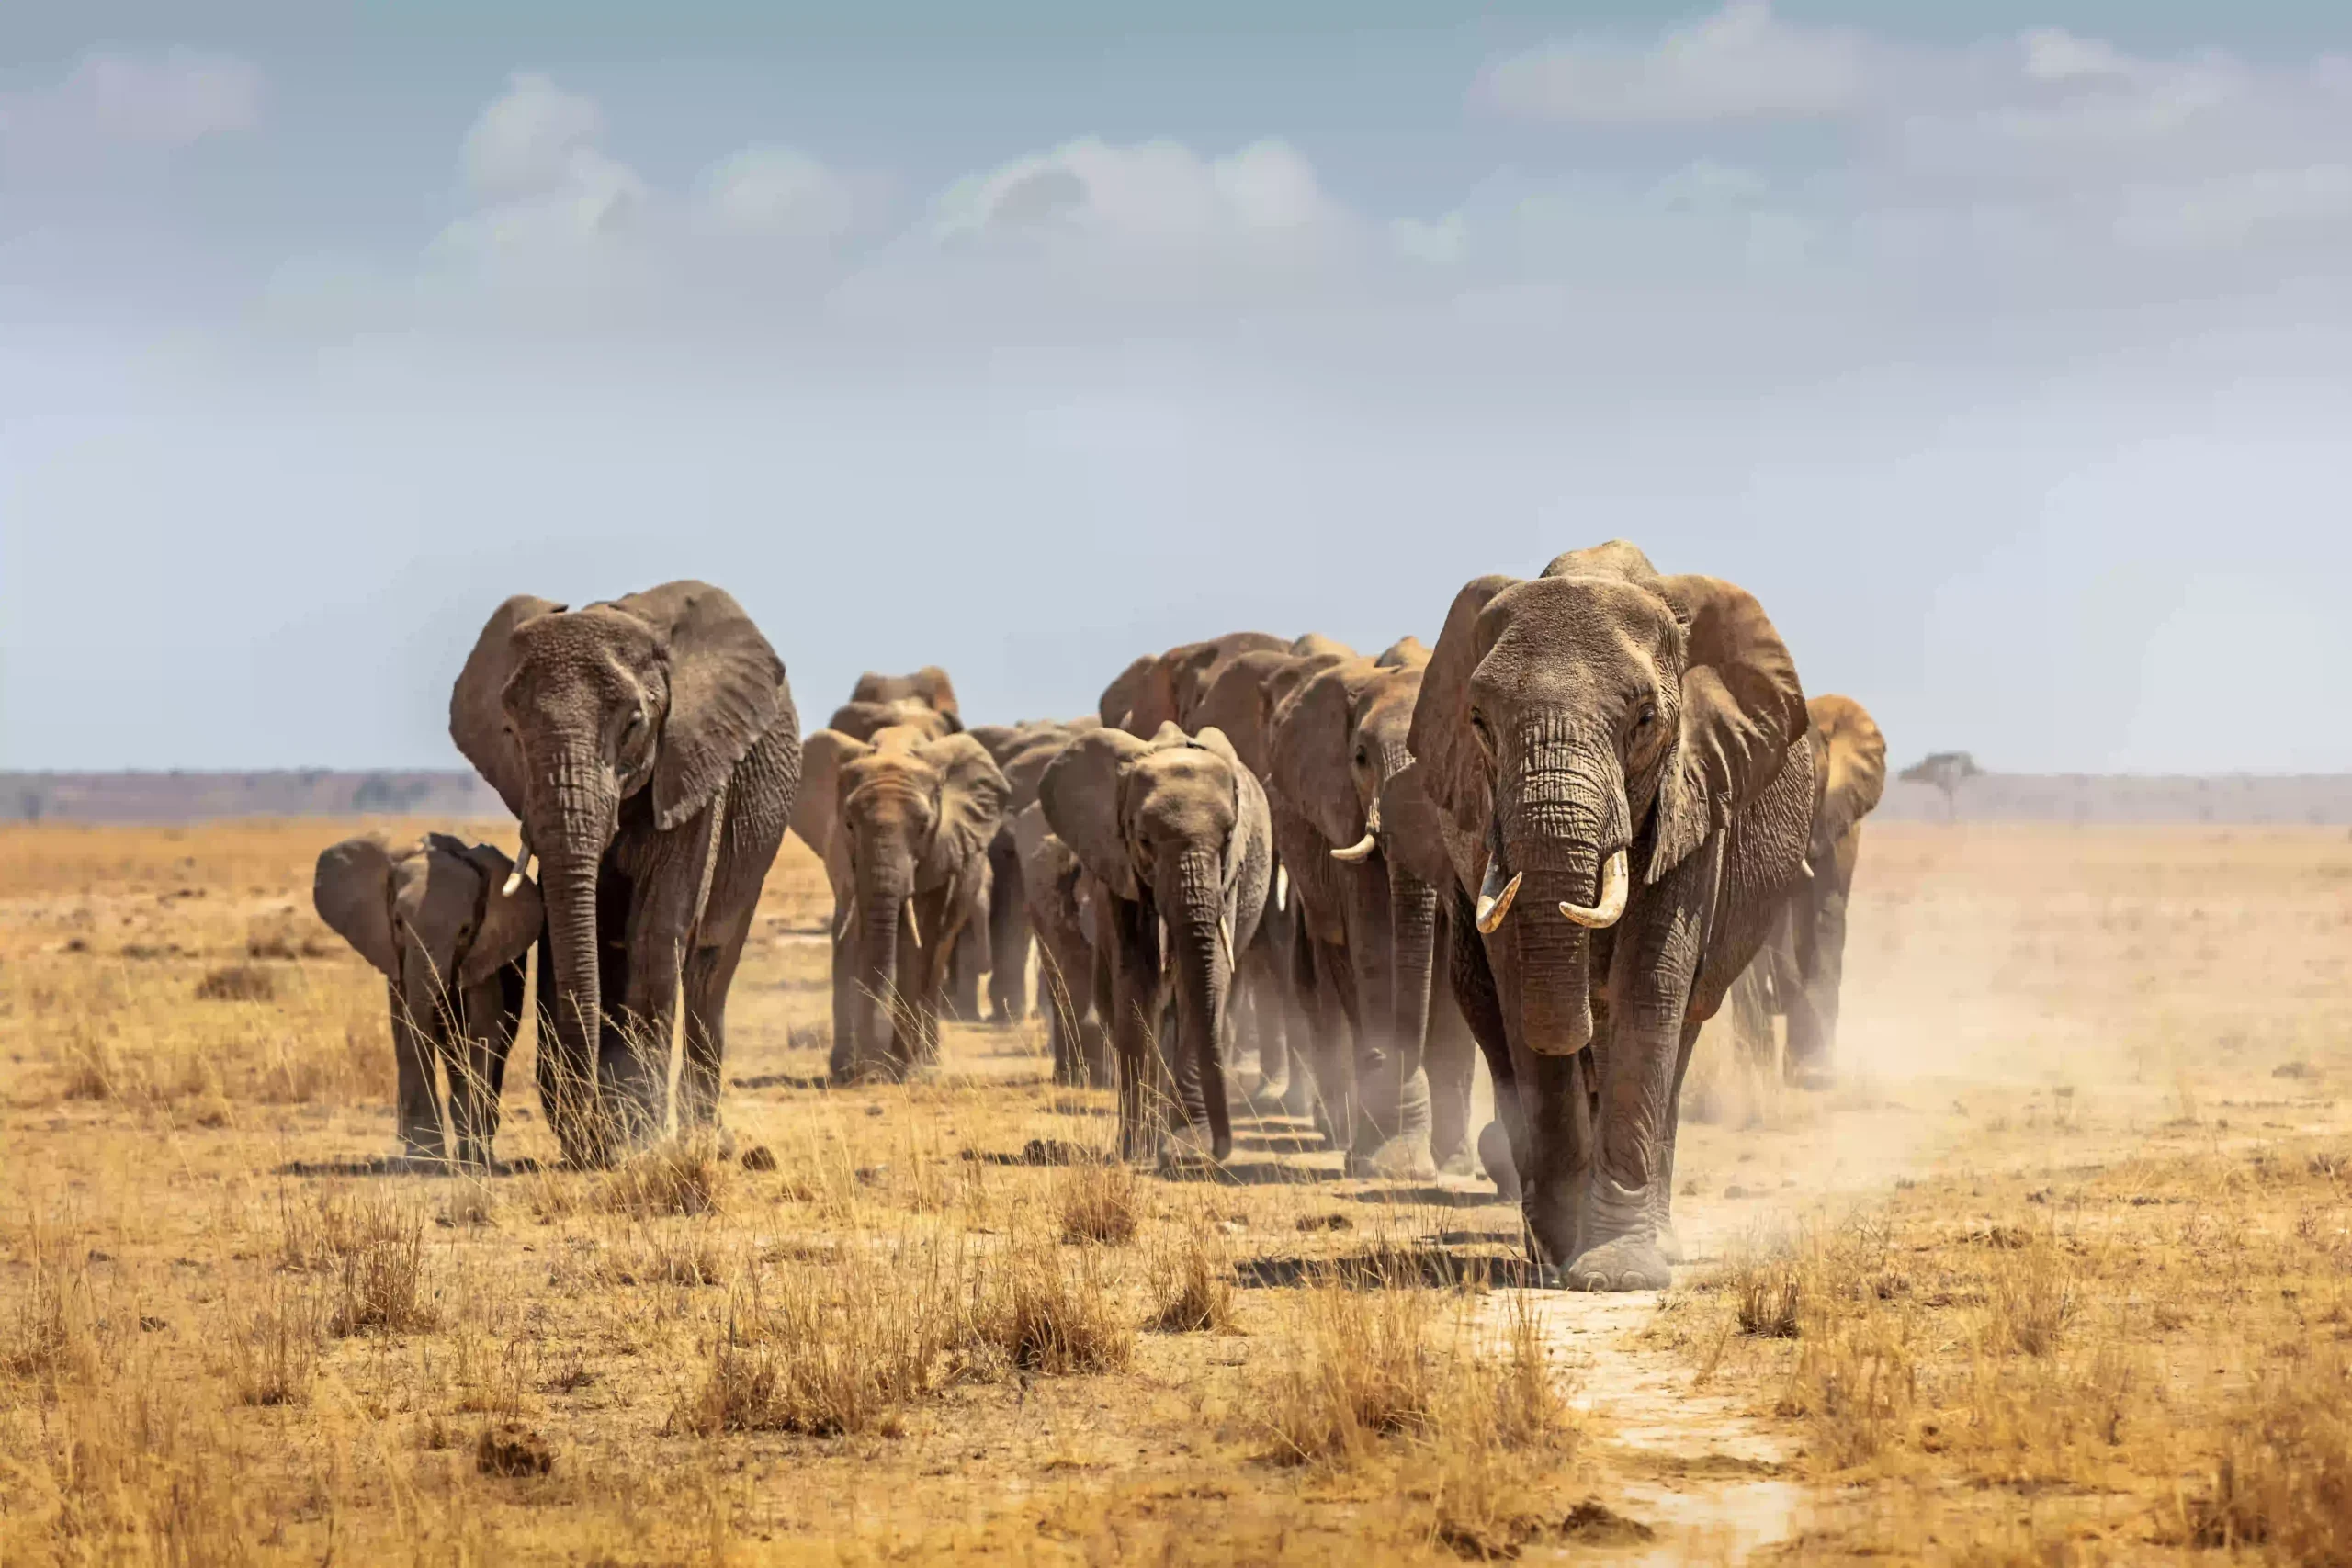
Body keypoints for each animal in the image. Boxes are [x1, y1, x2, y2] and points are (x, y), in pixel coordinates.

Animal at [313, 832, 542, 1169]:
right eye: (397, 922)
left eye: (464, 930)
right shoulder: (394, 956)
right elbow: (405, 1027)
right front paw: (425, 1157)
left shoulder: (484, 949)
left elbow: (482, 1030)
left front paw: (466, 1158)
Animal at [450, 582, 800, 1165]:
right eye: (510, 731)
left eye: (633, 725)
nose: (587, 1136)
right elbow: (566, 936)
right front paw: (601, 1140)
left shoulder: (694, 767)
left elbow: (655, 934)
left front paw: (637, 1140)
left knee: (708, 973)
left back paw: (702, 1137)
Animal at [803, 725, 1009, 1081]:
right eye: (849, 824)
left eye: (924, 828)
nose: (871, 1072)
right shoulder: (841, 856)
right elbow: (850, 934)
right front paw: (848, 1070)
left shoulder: (941, 851)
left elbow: (918, 943)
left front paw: (897, 1068)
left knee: (935, 959)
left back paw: (928, 1062)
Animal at [1039, 723, 1274, 1161]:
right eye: (1145, 840)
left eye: (1229, 837)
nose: (1221, 1149)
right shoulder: (1119, 868)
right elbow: (1137, 983)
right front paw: (1136, 1151)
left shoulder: (1229, 879)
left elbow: (1210, 978)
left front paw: (1188, 1146)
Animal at [1409, 541, 1813, 1291]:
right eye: (1479, 720)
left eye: (1644, 720)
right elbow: (1520, 988)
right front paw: (1562, 1255)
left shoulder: (1696, 788)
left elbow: (1650, 982)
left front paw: (1617, 1274)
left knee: (1680, 1030)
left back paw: (1657, 1242)